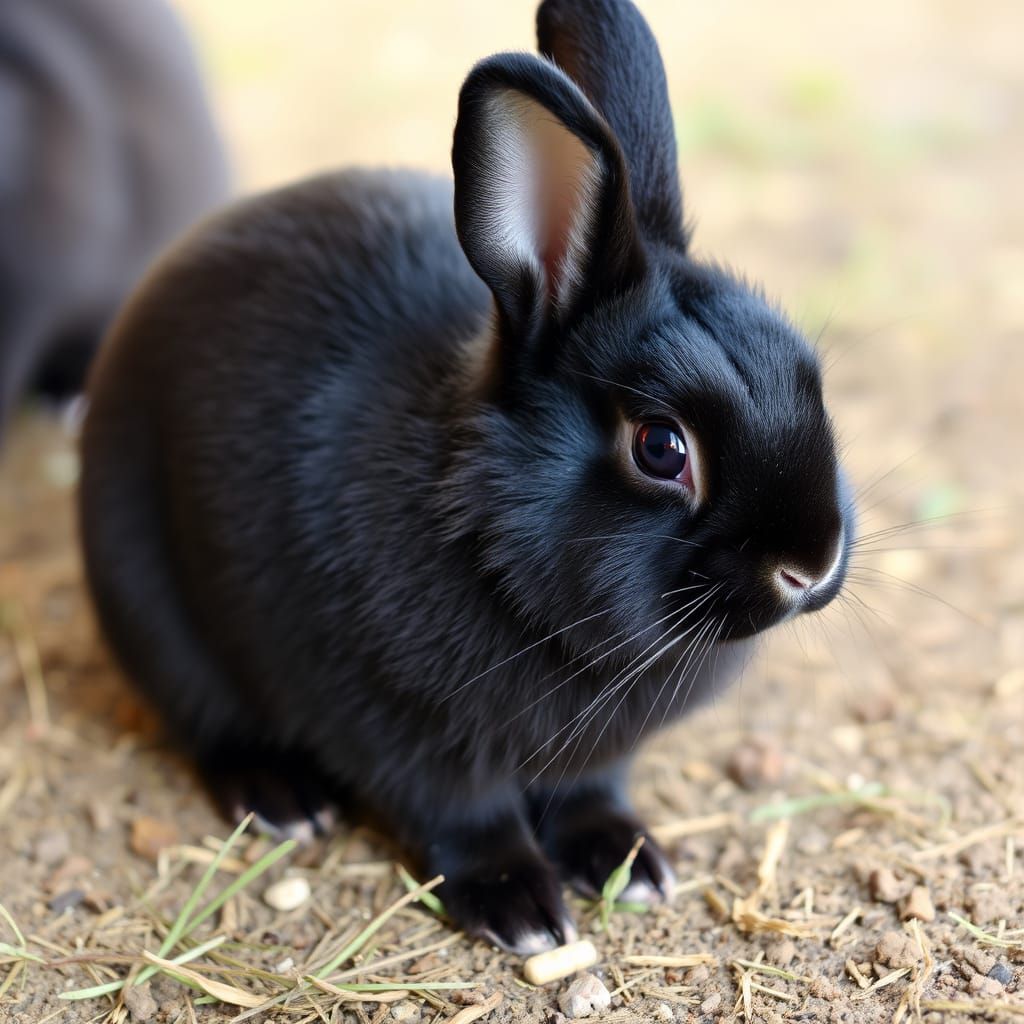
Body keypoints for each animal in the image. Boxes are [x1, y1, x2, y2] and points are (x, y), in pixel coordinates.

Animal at [79, 0, 853, 954]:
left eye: (807, 373)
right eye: (661, 448)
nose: (812, 565)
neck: (486, 529)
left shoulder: (591, 758)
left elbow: (588, 793)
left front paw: (629, 862)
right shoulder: (400, 729)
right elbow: (465, 817)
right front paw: (521, 907)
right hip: (150, 607)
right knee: (206, 719)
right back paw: (282, 799)